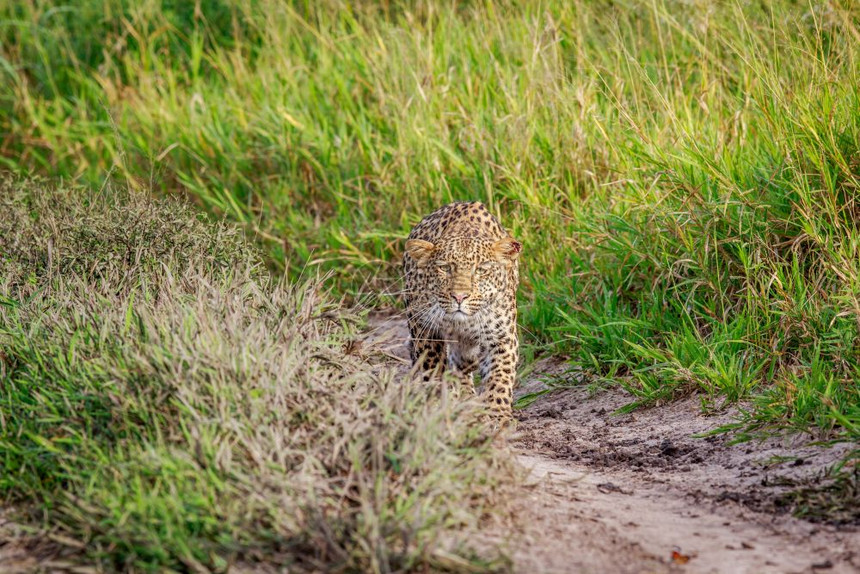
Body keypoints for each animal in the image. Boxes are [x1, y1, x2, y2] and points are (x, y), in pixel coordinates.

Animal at [402, 202, 520, 424]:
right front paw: (437, 403)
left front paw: (497, 414)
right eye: (445, 268)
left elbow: (500, 374)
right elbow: (432, 367)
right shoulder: (425, 329)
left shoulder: (502, 336)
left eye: (481, 270)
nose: (459, 296)